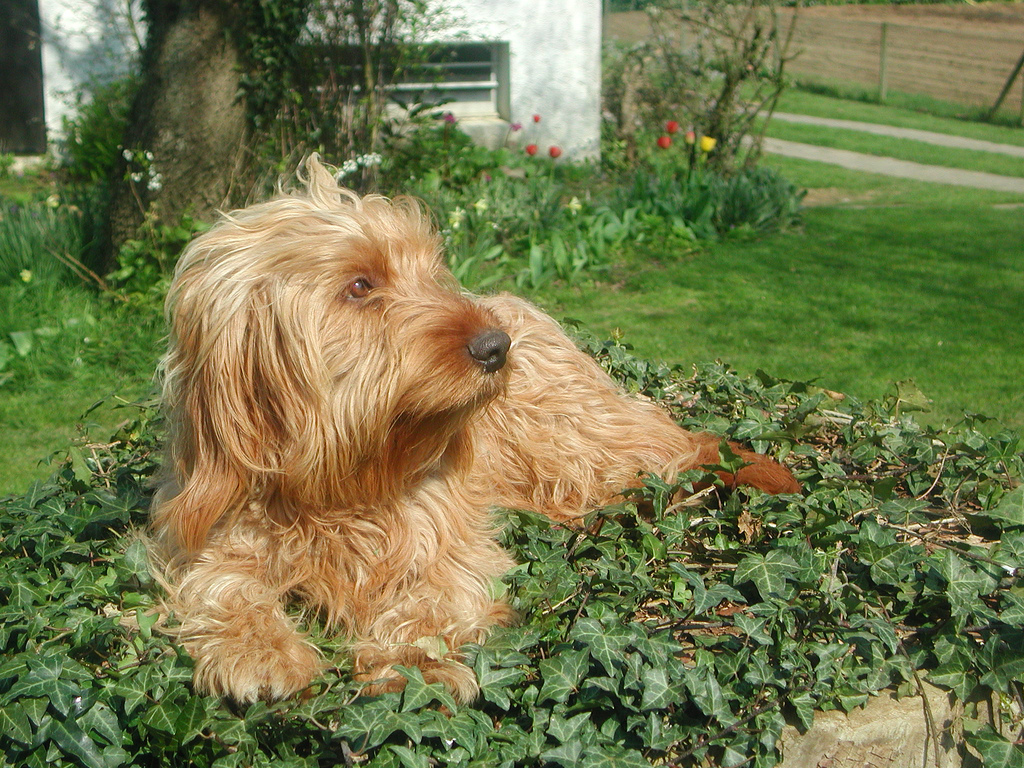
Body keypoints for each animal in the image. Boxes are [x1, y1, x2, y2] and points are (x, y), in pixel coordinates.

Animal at [148, 153, 798, 708]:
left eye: (432, 271)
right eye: (360, 285)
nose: (495, 347)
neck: (341, 480)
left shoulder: (445, 542)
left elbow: (434, 599)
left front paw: (416, 666)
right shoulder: (213, 532)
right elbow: (225, 586)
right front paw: (260, 650)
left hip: (569, 443)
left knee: (664, 460)